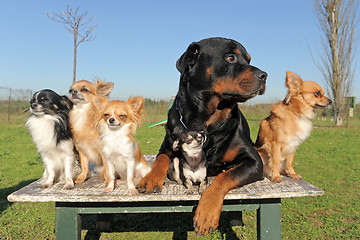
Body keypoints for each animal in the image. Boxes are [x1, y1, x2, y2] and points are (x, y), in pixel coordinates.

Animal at [138, 37, 268, 234]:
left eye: (248, 60)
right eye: (230, 57)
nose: (264, 75)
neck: (206, 121)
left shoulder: (254, 162)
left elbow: (225, 177)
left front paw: (206, 213)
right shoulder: (167, 146)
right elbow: (160, 159)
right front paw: (150, 178)